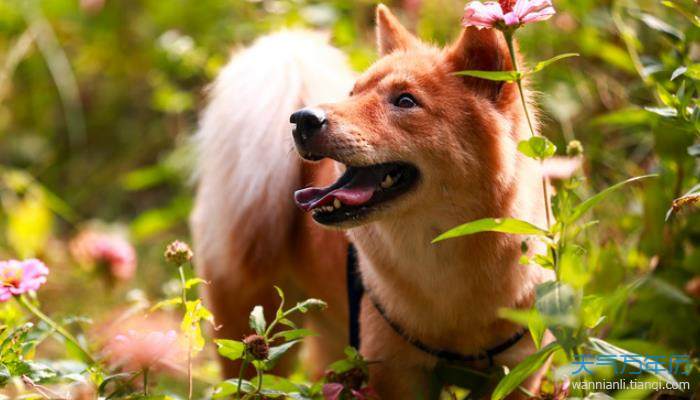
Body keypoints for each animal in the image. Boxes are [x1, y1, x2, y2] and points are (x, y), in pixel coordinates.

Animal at [191, 4, 552, 398]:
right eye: (353, 92)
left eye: (405, 101)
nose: (303, 119)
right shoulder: (394, 372)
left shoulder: (518, 371)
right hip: (253, 337)